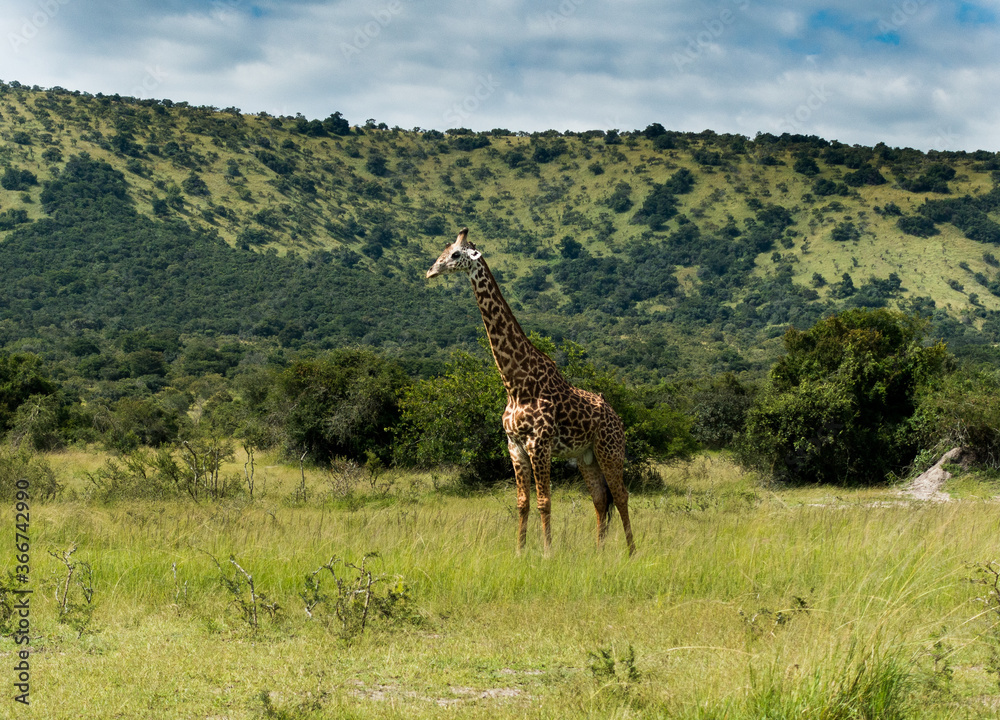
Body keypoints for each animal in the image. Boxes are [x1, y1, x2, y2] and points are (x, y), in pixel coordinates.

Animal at [426, 228, 636, 556]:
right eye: (443, 251)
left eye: (456, 254)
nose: (431, 271)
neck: (515, 384)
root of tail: (617, 417)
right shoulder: (514, 446)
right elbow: (522, 503)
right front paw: (520, 551)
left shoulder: (539, 444)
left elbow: (544, 502)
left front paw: (548, 553)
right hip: (586, 457)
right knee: (601, 499)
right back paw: (599, 551)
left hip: (610, 450)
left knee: (622, 495)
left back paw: (631, 552)